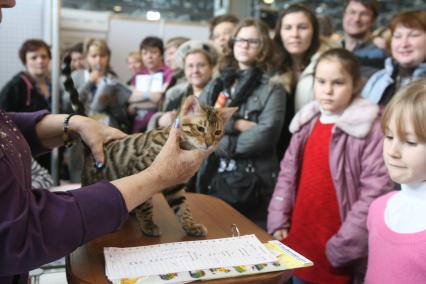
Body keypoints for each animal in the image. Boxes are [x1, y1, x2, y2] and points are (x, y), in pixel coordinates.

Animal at [80, 96, 236, 237]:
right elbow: (146, 205)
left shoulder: (176, 186)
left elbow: (183, 207)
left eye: (217, 132)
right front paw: (148, 225)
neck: (184, 145)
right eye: (200, 128)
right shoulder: (140, 169)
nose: (209, 144)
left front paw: (190, 225)